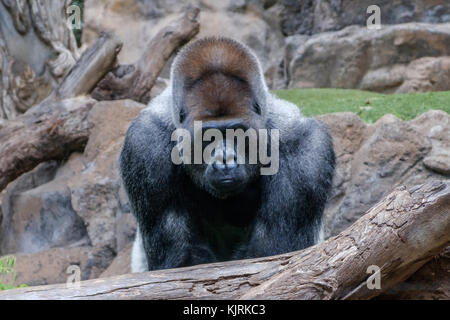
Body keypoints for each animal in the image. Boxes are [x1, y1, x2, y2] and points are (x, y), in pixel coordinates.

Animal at [119, 37, 334, 272]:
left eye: (237, 133)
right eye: (208, 137)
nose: (225, 159)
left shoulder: (305, 152)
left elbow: (272, 255)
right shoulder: (144, 146)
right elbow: (184, 258)